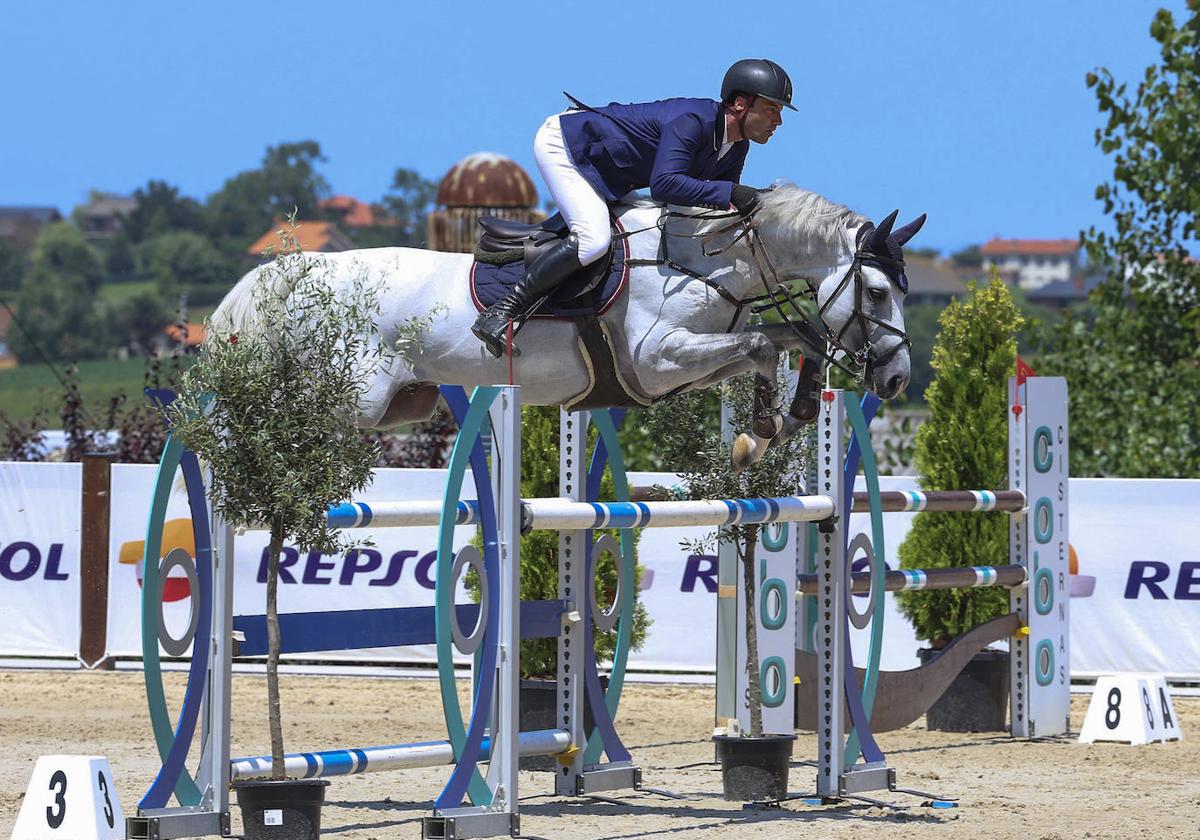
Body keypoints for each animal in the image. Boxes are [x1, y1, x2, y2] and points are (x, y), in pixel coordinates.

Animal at [211, 184, 921, 470]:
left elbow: (788, 339)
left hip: (399, 406)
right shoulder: (656, 359)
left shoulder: (675, 369)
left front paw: (779, 424)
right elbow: (761, 344)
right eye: (877, 291)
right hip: (349, 400)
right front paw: (759, 436)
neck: (705, 258)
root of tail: (294, 273)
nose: (896, 379)